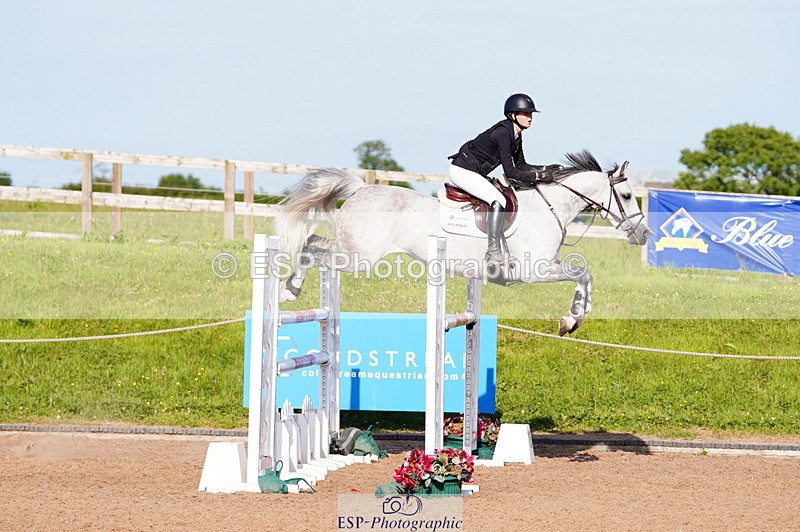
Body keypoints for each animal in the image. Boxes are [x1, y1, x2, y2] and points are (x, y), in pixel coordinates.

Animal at [274, 150, 651, 335]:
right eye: (627, 196)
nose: (644, 234)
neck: (550, 207)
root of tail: (361, 188)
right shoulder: (536, 270)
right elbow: (582, 272)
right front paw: (571, 319)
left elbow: (585, 275)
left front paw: (574, 319)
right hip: (360, 256)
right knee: (313, 248)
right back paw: (288, 290)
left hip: (354, 252)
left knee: (312, 242)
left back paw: (290, 289)